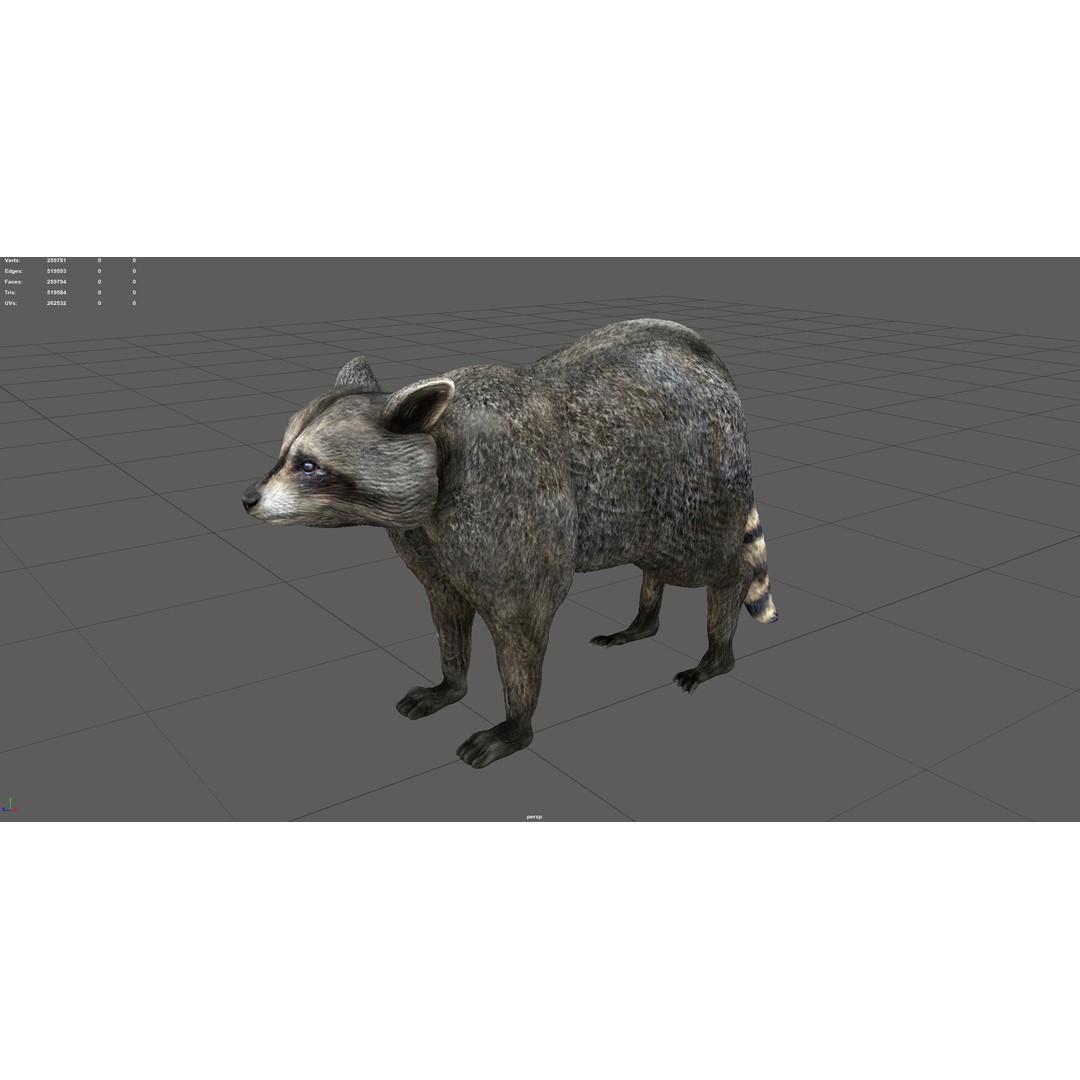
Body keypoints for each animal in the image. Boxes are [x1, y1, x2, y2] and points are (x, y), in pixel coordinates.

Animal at [242, 319, 779, 768]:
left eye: (308, 466)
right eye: (284, 453)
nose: (247, 499)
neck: (440, 443)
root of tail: (706, 357)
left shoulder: (511, 502)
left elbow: (522, 623)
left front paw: (515, 725)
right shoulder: (429, 543)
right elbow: (446, 612)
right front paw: (451, 683)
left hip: (695, 481)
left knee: (713, 564)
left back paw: (717, 649)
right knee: (655, 561)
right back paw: (644, 620)